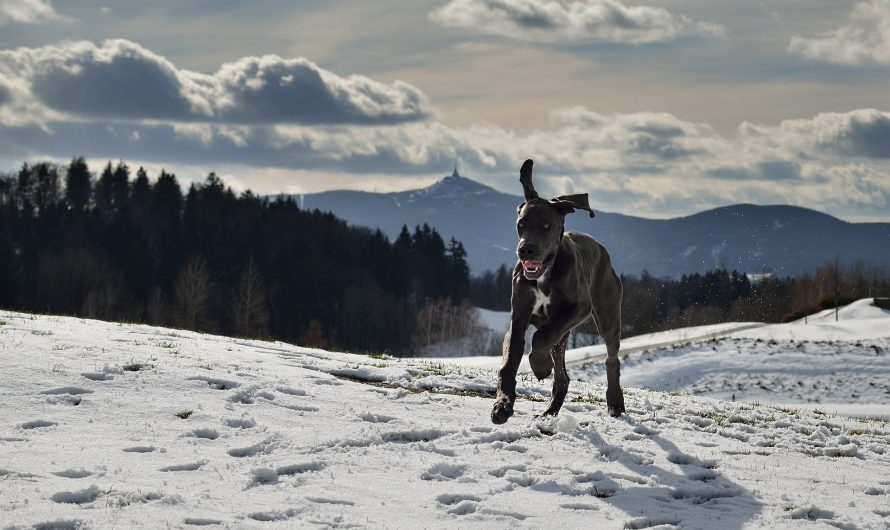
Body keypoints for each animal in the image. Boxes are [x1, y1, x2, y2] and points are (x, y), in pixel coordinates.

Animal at [490, 159, 620, 422]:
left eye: (546, 225)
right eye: (521, 224)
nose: (525, 250)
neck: (544, 275)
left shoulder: (580, 307)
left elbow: (541, 337)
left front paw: (539, 365)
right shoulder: (518, 319)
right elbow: (508, 363)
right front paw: (502, 405)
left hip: (607, 316)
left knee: (611, 359)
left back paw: (615, 403)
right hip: (565, 335)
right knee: (562, 376)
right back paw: (550, 411)